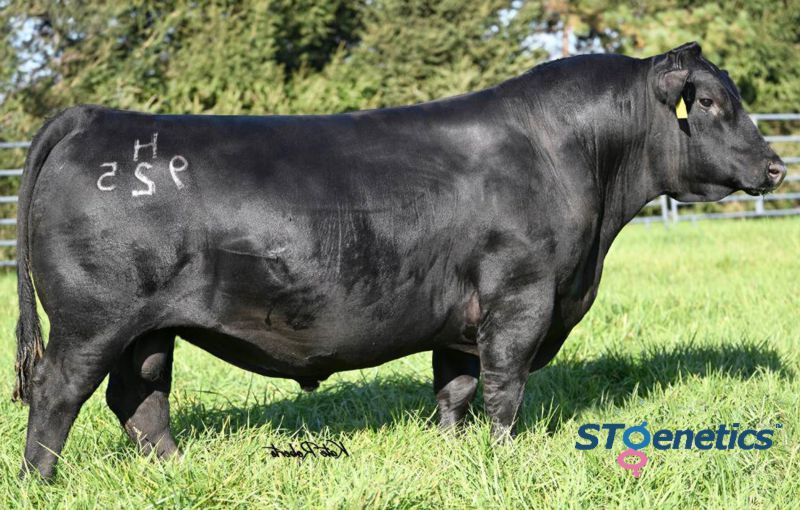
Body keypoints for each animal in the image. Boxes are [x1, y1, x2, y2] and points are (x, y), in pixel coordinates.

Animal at [13, 42, 785, 479]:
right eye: (711, 103)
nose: (777, 166)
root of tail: (95, 116)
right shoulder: (521, 298)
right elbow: (503, 390)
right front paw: (505, 459)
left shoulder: (463, 318)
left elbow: (455, 390)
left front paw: (454, 453)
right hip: (91, 320)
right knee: (58, 394)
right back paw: (39, 483)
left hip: (147, 328)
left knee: (139, 397)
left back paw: (175, 473)